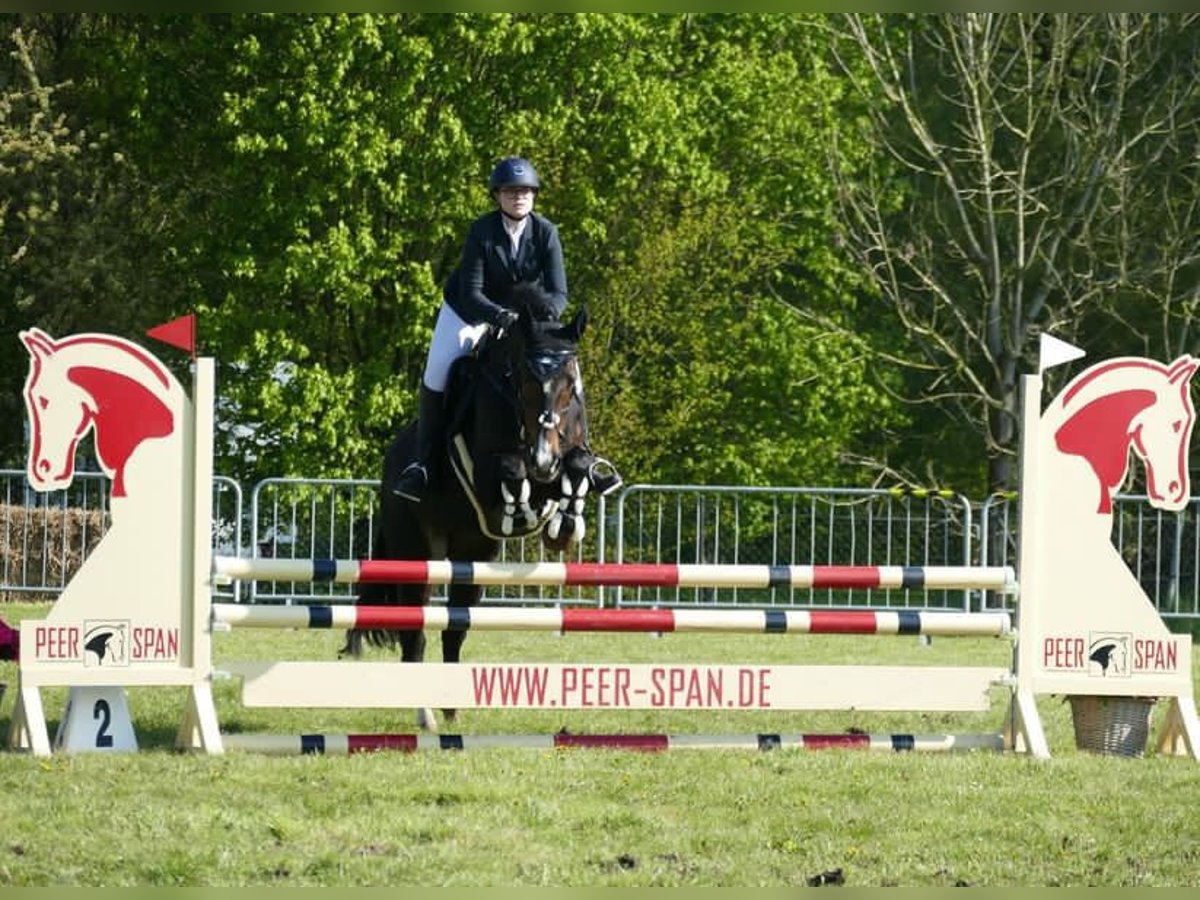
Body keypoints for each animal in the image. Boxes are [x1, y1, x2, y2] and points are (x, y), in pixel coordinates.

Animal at [338, 286, 600, 734]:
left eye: (570, 382)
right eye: (525, 379)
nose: (543, 459)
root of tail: (390, 463)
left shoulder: (566, 454)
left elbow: (578, 465)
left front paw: (563, 525)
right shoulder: (489, 471)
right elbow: (512, 470)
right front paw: (522, 510)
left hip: (473, 556)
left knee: (454, 629)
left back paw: (451, 707)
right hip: (417, 555)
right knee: (415, 633)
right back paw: (425, 715)